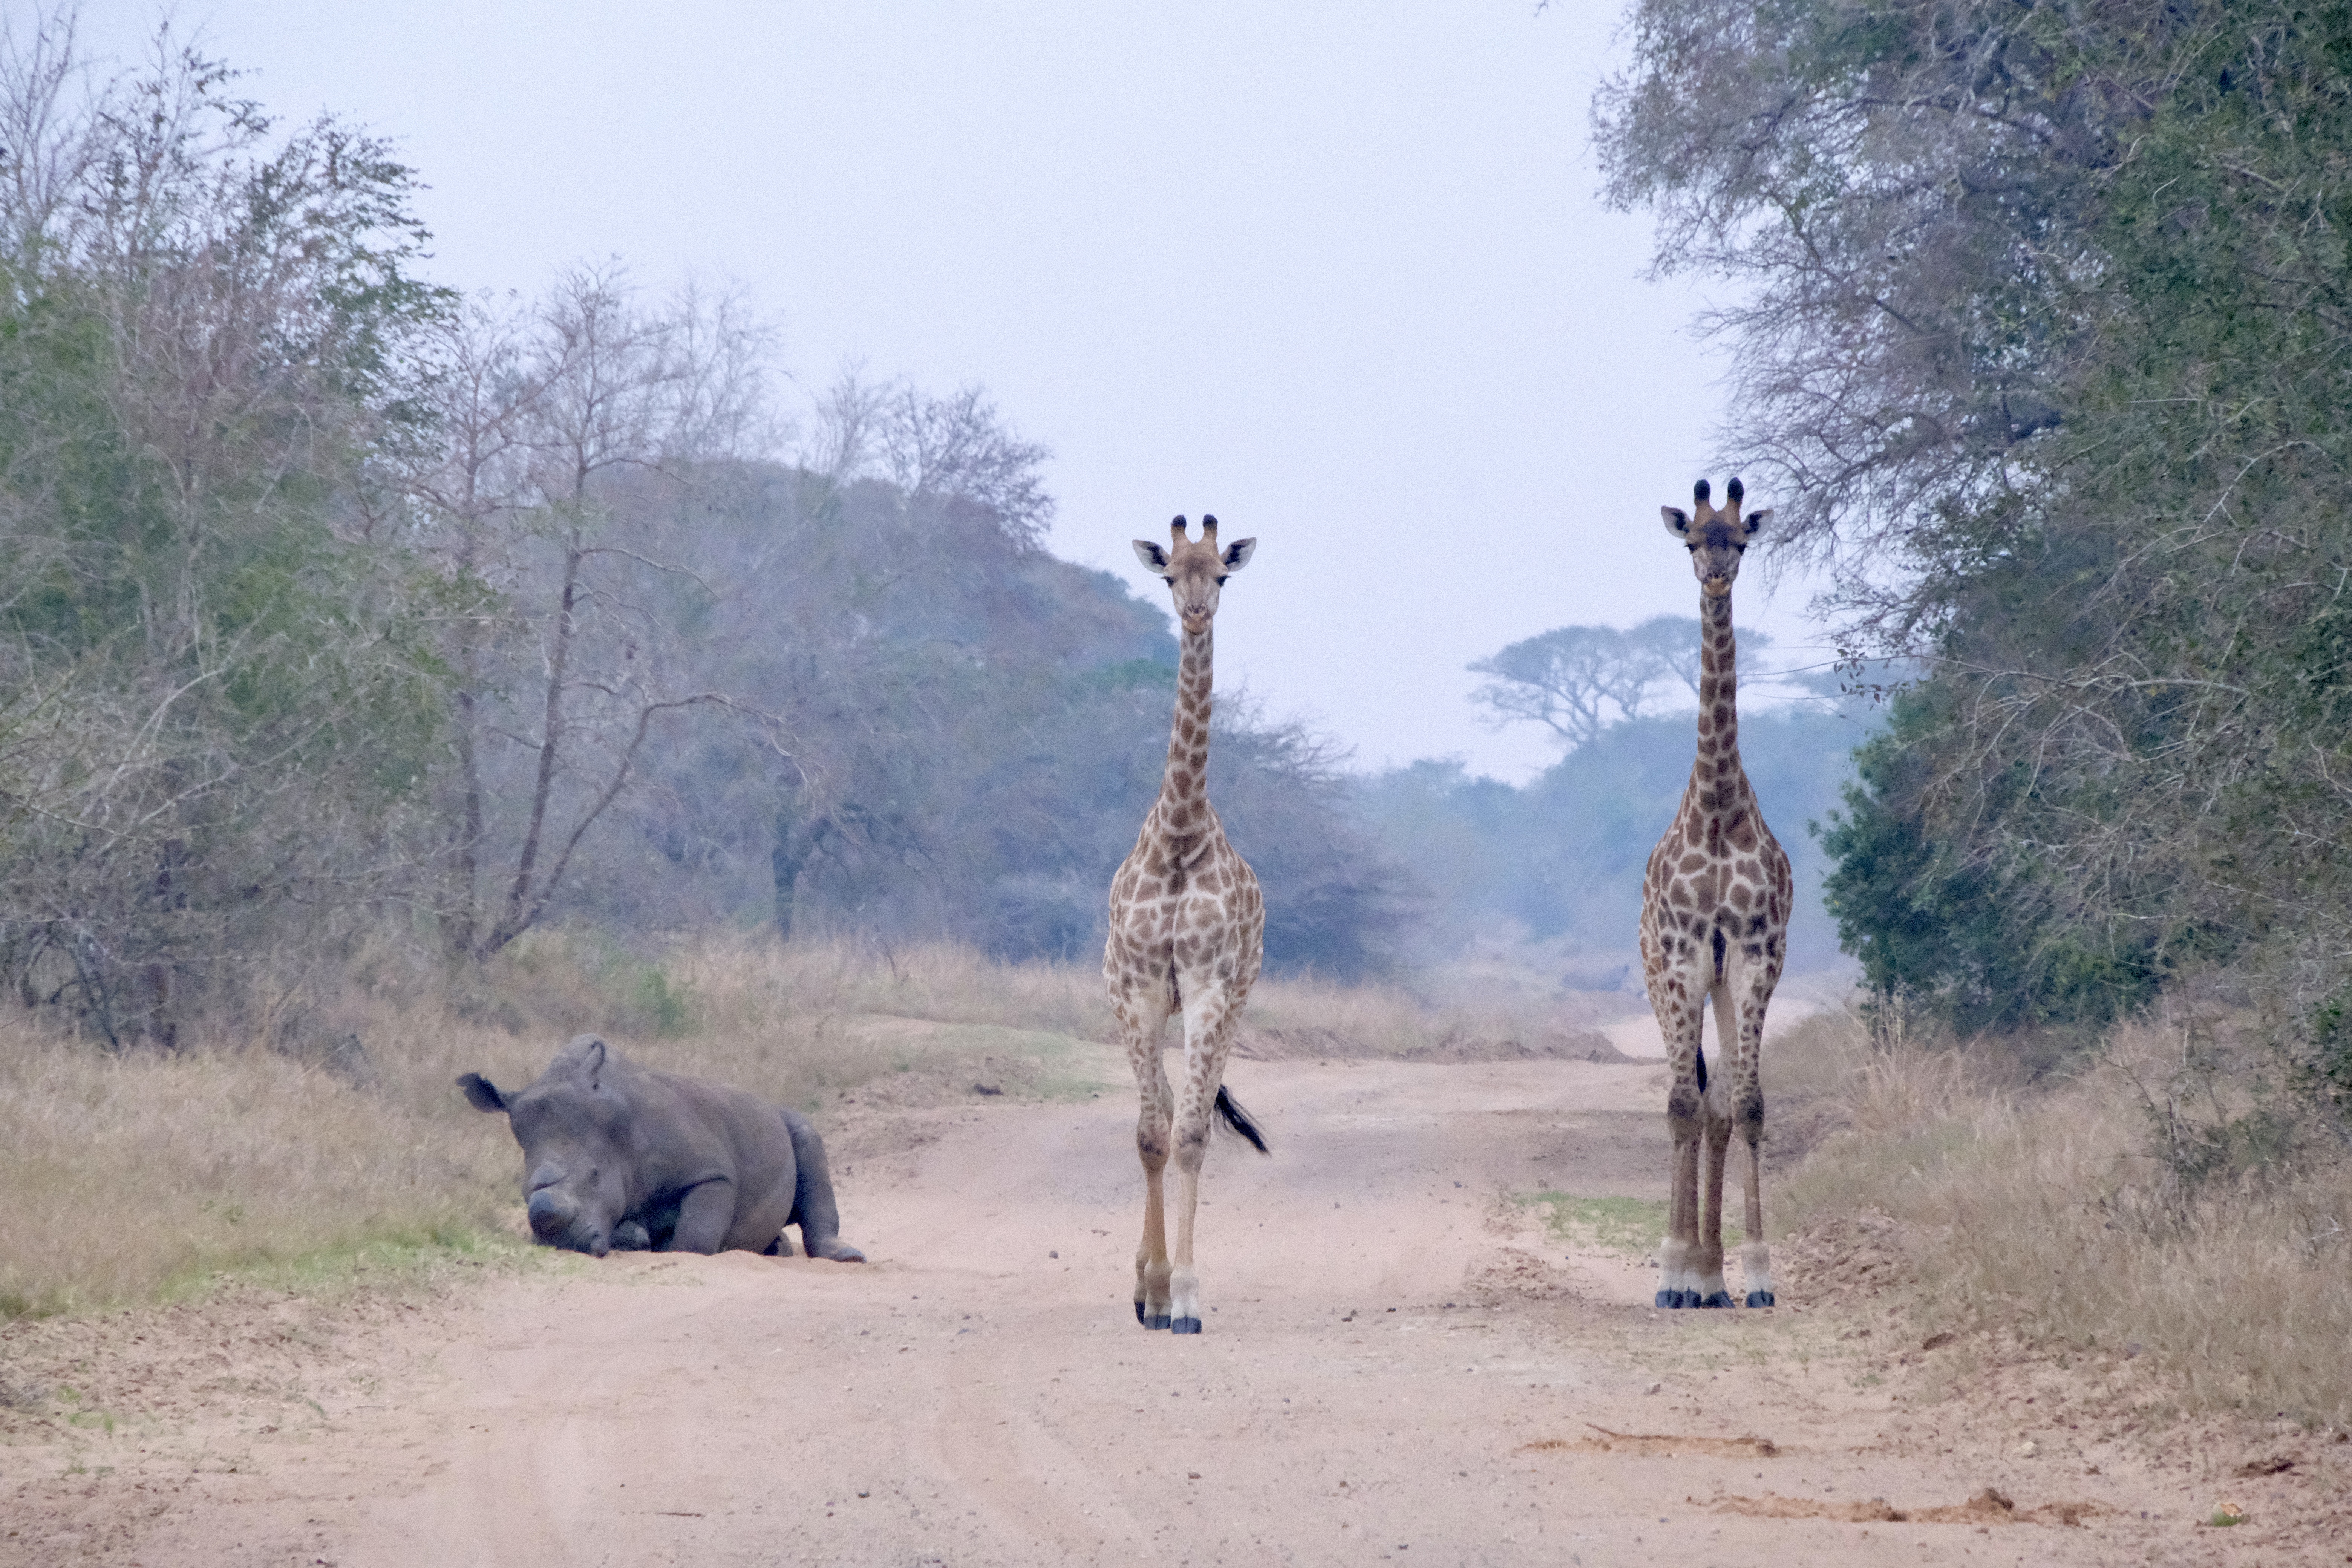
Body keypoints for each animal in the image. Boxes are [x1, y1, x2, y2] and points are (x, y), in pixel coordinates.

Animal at [458, 1034, 866, 1262]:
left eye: (595, 1177)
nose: (564, 1243)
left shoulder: (711, 1173)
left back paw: (844, 1257)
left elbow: (695, 1237)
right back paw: (776, 1248)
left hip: (781, 1122)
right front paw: (641, 1238)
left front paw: (683, 1244)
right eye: (524, 1190)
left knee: (807, 1139)